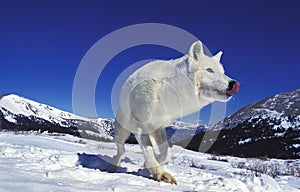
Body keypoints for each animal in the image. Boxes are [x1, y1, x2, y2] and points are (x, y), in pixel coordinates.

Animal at [109, 40, 240, 184]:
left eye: (222, 72)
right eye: (210, 70)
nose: (234, 84)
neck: (169, 90)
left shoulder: (158, 127)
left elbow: (166, 153)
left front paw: (150, 165)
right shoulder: (140, 125)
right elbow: (148, 150)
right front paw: (159, 173)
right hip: (122, 131)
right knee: (121, 149)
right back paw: (112, 166)